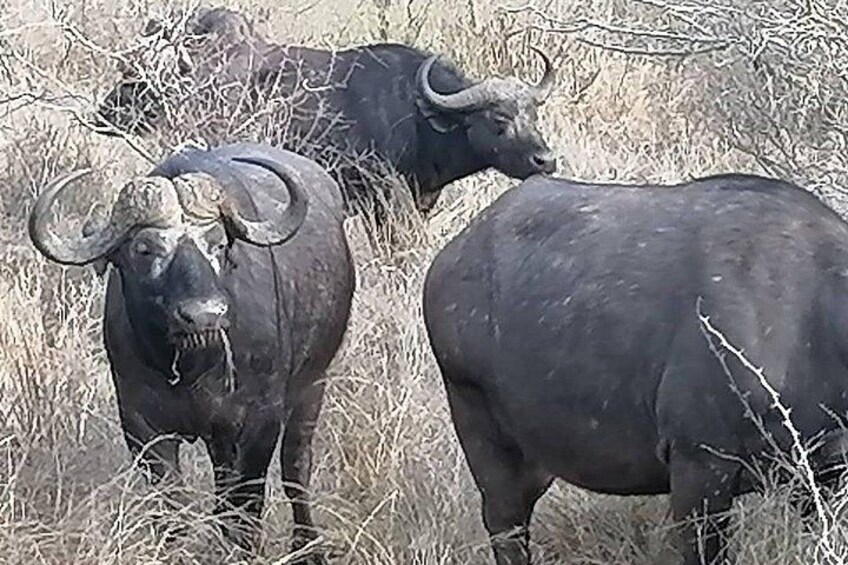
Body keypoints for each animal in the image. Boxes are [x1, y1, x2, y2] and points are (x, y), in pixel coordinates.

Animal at [29, 142, 355, 562]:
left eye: (218, 243)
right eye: (144, 249)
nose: (204, 315)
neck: (194, 367)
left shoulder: (260, 419)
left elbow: (246, 502)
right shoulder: (142, 425)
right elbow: (172, 506)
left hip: (313, 386)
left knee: (296, 467)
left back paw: (307, 545)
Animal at [423, 173, 848, 564]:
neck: (815, 319)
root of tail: (448, 259)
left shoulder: (821, 474)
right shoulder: (700, 466)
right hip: (487, 445)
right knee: (506, 528)